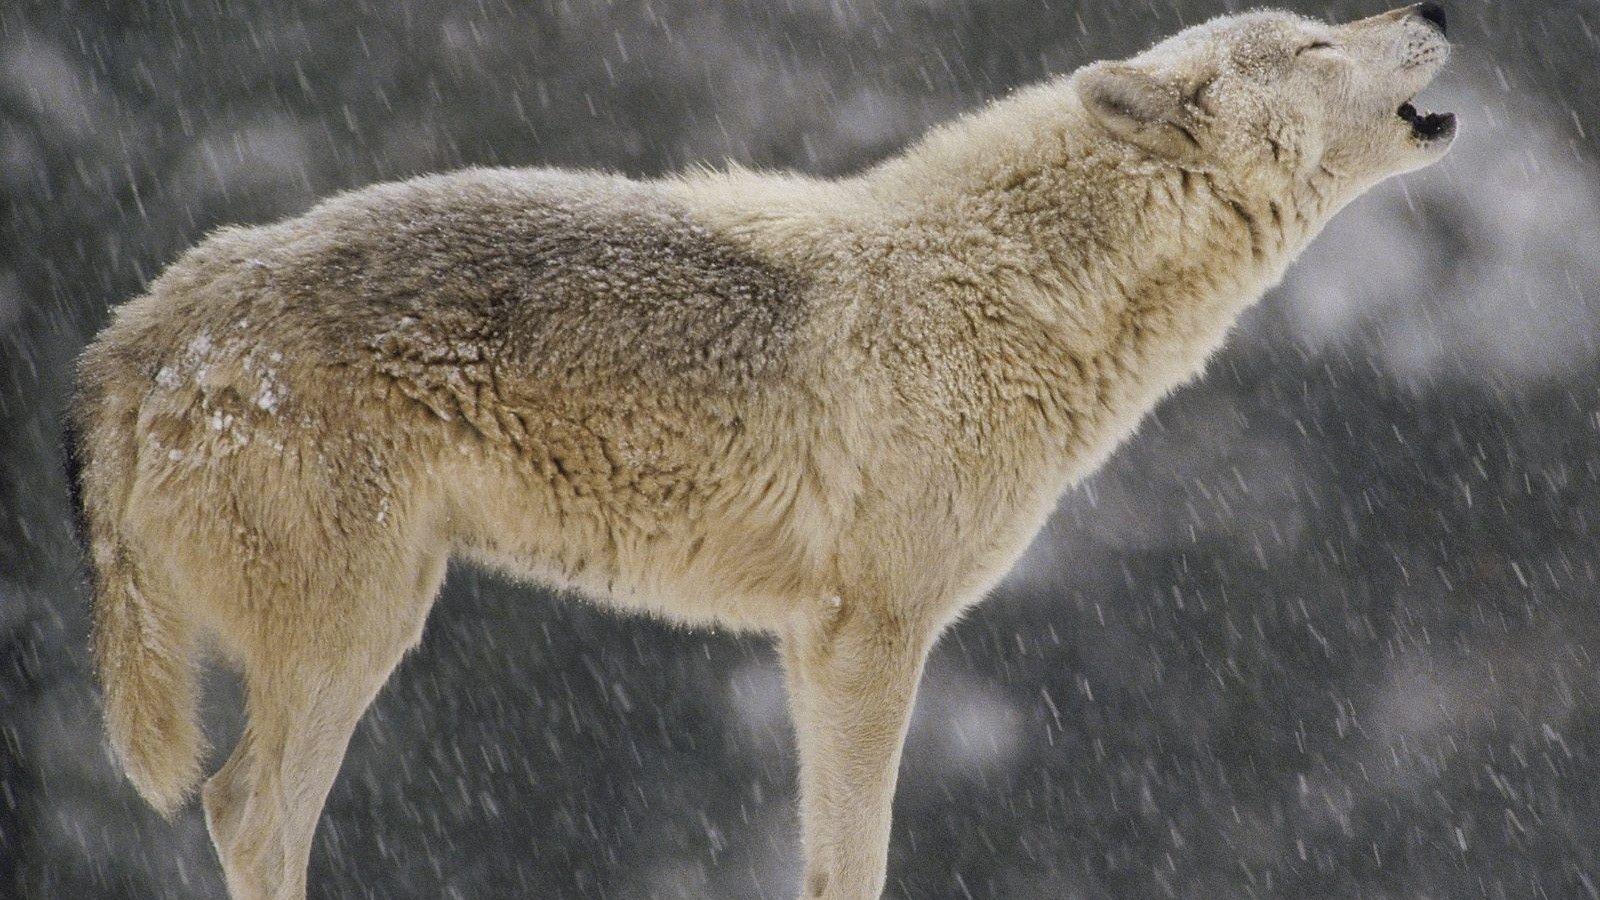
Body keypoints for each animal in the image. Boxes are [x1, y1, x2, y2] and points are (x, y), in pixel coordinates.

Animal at [68, 4, 1456, 897]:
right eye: (1316, 38)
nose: (1435, 2)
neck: (1011, 287)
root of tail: (144, 328)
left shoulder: (809, 641)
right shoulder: (873, 634)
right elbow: (860, 862)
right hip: (357, 633)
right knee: (248, 814)